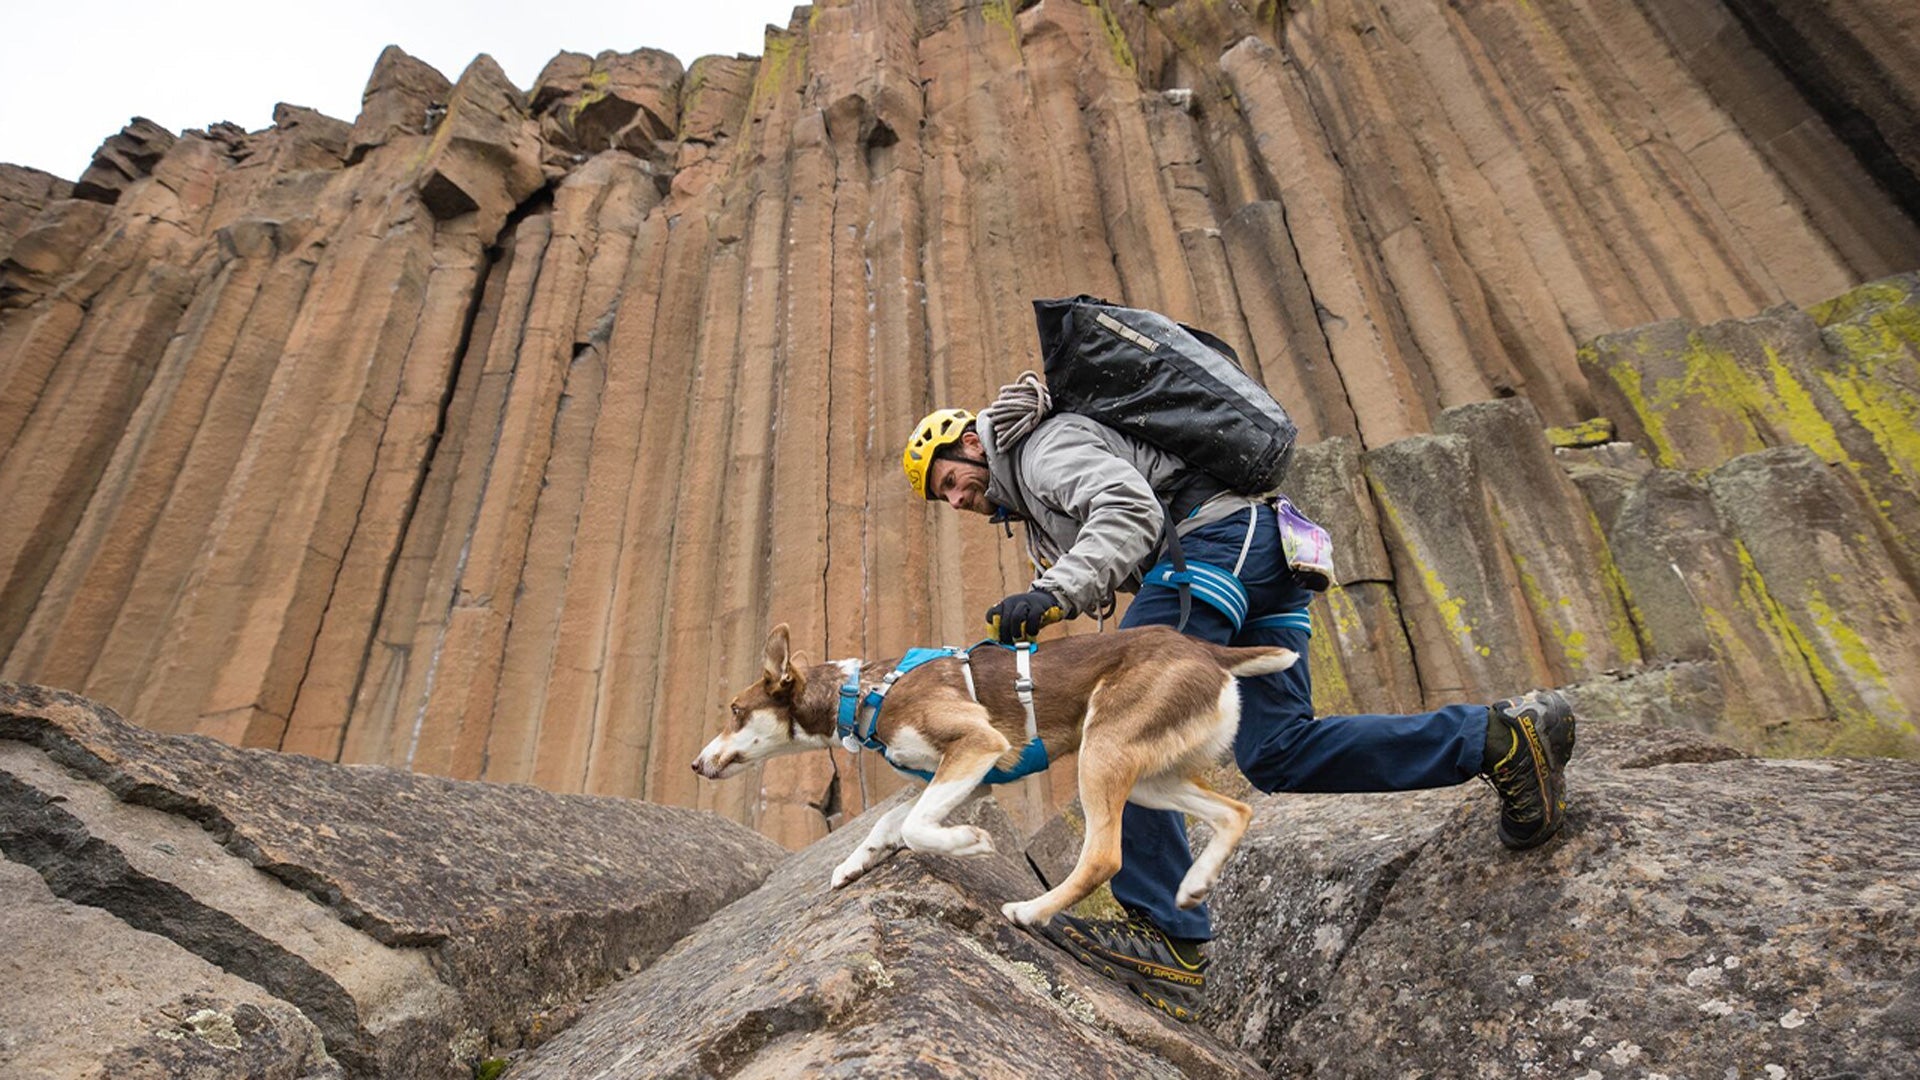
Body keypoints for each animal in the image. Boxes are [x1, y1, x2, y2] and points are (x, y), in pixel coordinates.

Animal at [683, 622, 1297, 926]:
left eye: (734, 712)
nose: (695, 762)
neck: (863, 694)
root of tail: (1210, 653)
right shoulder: (959, 772)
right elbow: (888, 826)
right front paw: (854, 865)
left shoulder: (978, 745)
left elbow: (914, 829)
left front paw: (970, 843)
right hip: (1148, 776)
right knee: (1235, 811)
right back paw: (1194, 885)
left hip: (1101, 755)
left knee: (1103, 857)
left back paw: (1029, 913)